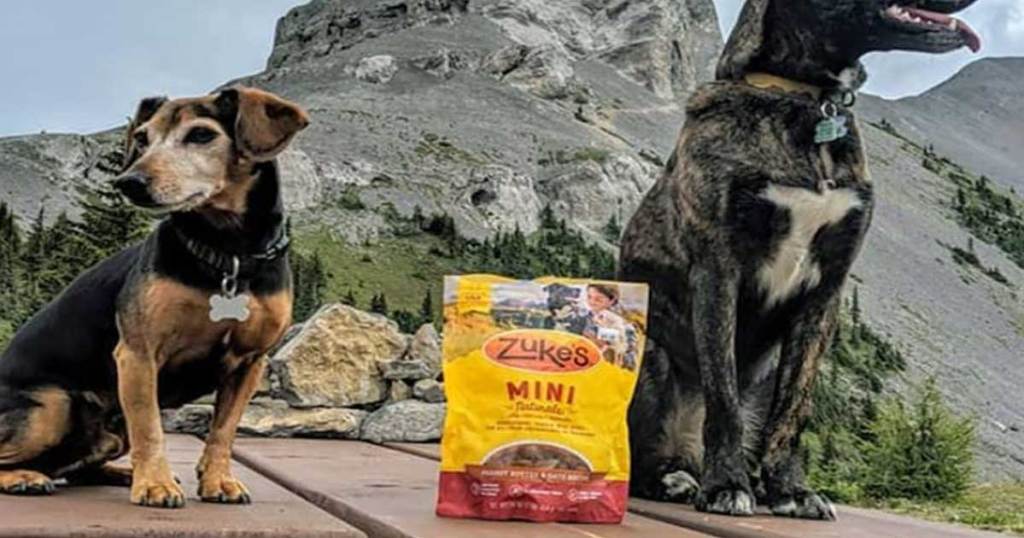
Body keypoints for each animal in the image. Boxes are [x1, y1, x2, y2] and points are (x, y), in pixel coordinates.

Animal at [0, 86, 307, 506]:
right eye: (142, 139)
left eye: (201, 135)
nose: (128, 182)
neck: (227, 252)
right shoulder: (138, 354)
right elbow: (150, 427)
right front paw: (156, 485)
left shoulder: (249, 362)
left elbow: (223, 430)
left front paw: (217, 481)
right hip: (51, 407)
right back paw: (25, 477)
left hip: (109, 433)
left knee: (77, 467)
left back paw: (119, 472)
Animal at [618, 0, 978, 520]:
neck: (806, 103)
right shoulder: (719, 268)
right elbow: (723, 400)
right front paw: (726, 485)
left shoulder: (827, 288)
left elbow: (794, 409)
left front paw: (792, 490)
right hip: (648, 355)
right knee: (638, 458)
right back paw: (680, 482)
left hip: (763, 377)